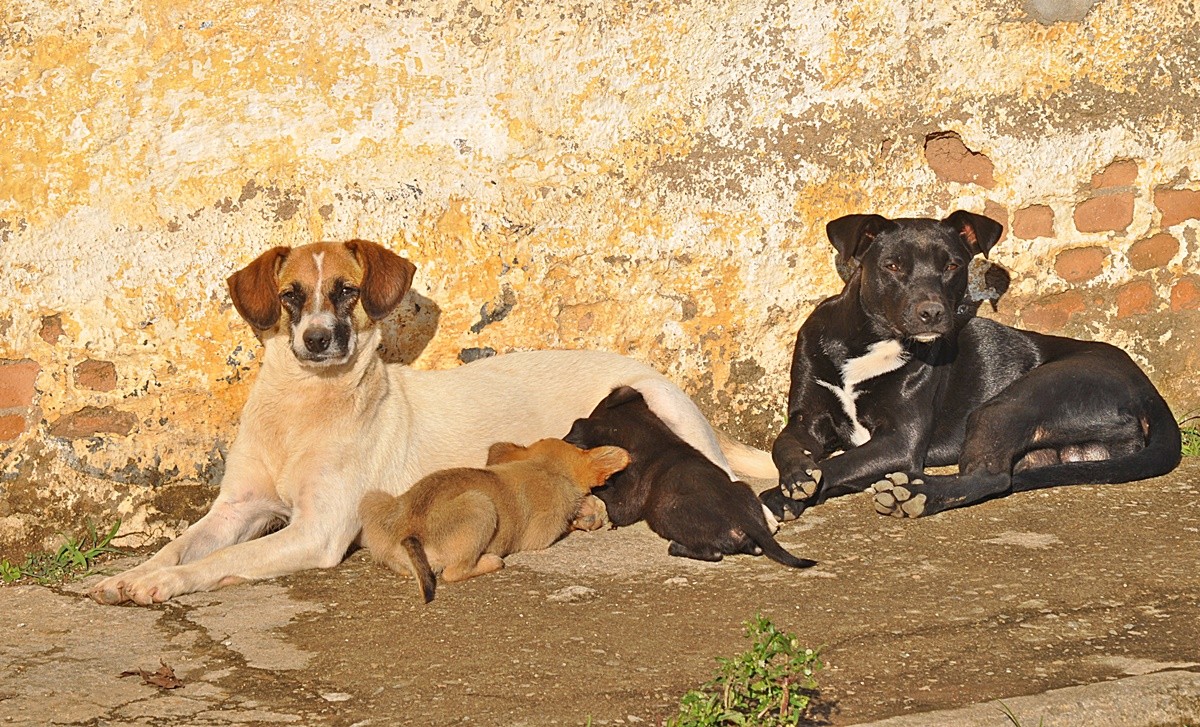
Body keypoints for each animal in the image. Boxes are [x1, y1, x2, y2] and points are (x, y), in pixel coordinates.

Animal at [360, 439, 633, 604]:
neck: (545, 467)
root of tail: (409, 529)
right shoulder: (543, 535)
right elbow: (567, 524)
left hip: (372, 498)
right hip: (480, 506)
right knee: (454, 572)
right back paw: (491, 561)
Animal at [564, 388, 816, 571]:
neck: (653, 436)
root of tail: (749, 520)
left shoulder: (624, 505)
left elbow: (608, 493)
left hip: (668, 511)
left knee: (713, 553)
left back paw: (676, 547)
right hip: (743, 490)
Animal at [763, 207, 1176, 520]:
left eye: (953, 265)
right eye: (892, 266)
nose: (932, 313)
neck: (869, 342)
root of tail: (1150, 391)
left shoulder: (900, 442)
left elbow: (839, 464)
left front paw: (780, 495)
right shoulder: (807, 418)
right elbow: (783, 444)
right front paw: (797, 476)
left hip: (1012, 402)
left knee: (990, 477)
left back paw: (917, 494)